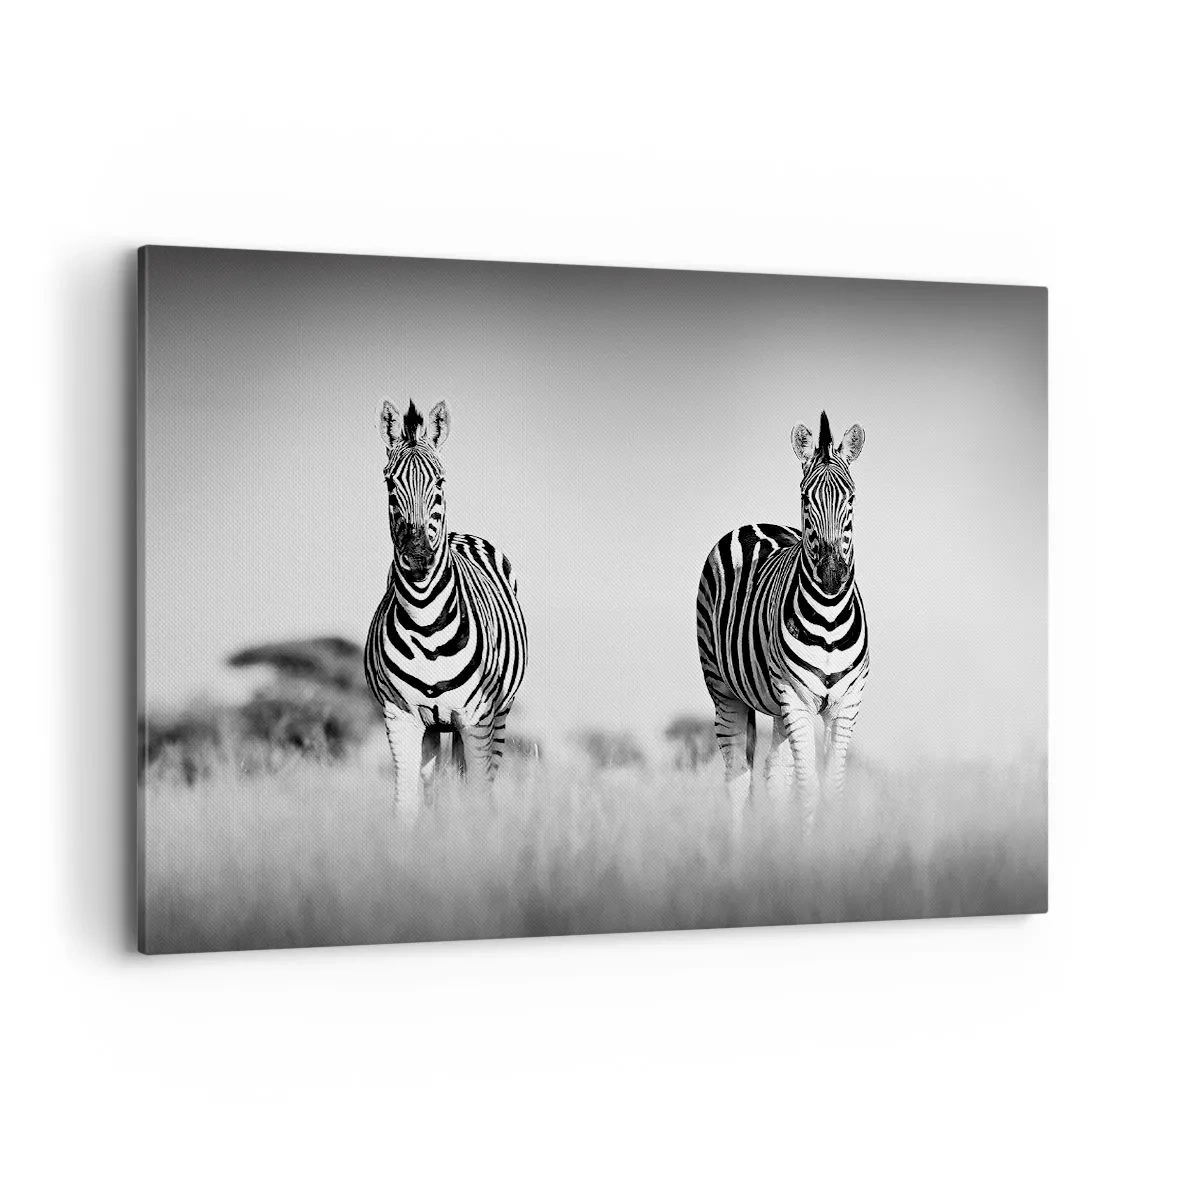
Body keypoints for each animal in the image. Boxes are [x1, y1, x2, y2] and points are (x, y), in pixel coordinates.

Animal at [365, 398, 527, 819]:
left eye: (439, 482)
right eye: (389, 483)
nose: (418, 554)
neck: (426, 623)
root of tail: (460, 534)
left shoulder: (477, 719)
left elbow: (477, 795)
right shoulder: (401, 717)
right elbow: (406, 805)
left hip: (497, 717)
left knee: (480, 782)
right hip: (435, 727)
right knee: (435, 786)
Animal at [696, 411, 868, 828]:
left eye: (851, 497)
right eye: (806, 498)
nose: (833, 574)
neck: (829, 618)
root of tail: (754, 524)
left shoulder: (847, 703)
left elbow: (831, 789)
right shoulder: (796, 697)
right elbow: (808, 789)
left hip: (776, 707)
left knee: (774, 774)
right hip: (723, 690)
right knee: (738, 778)